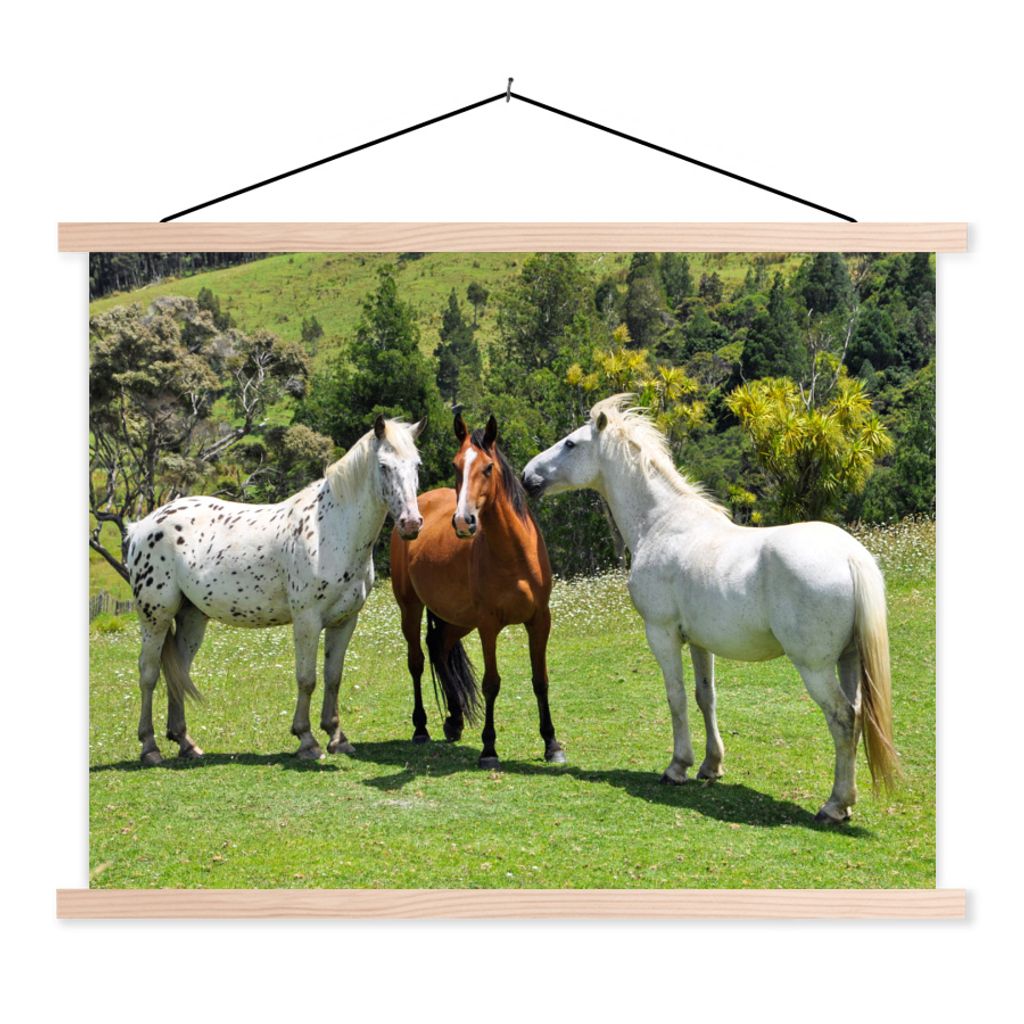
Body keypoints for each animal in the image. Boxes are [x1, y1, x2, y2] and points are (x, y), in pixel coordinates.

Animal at [125, 414, 426, 765]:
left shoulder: (344, 621)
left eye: (416, 465)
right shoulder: (307, 621)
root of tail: (142, 526)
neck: (331, 528)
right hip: (155, 618)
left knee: (179, 673)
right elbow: (307, 679)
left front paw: (337, 737)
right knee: (148, 674)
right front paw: (307, 740)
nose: (411, 524)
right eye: (383, 466)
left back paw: (186, 742)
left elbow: (333, 678)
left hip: (192, 618)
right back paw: (150, 747)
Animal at [390, 412, 565, 768]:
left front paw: (551, 744)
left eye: (488, 467)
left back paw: (454, 720)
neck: (514, 555)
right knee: (416, 661)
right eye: (456, 465)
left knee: (439, 647)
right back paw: (421, 728)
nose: (463, 521)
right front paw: (489, 749)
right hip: (411, 608)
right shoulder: (488, 625)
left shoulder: (540, 620)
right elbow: (491, 684)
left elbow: (540, 680)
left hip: (458, 619)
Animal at [521, 394, 900, 823]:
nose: (527, 476)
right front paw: (710, 765)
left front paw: (677, 767)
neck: (661, 523)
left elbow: (677, 697)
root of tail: (851, 556)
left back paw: (835, 805)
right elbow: (706, 697)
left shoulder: (662, 634)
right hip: (849, 659)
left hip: (815, 667)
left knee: (842, 718)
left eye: (570, 443)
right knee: (857, 716)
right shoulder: (701, 642)